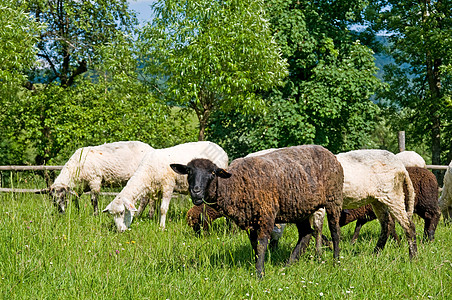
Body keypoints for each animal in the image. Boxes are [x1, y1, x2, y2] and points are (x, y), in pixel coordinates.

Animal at [170, 145, 342, 276]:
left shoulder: (266, 215)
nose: (196, 192)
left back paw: (336, 261)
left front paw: (260, 273)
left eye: (213, 173)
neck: (235, 183)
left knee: (335, 231)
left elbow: (262, 243)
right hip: (300, 209)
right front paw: (256, 265)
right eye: (189, 172)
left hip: (334, 199)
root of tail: (328, 152)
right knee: (305, 234)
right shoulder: (251, 219)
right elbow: (254, 245)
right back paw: (288, 265)